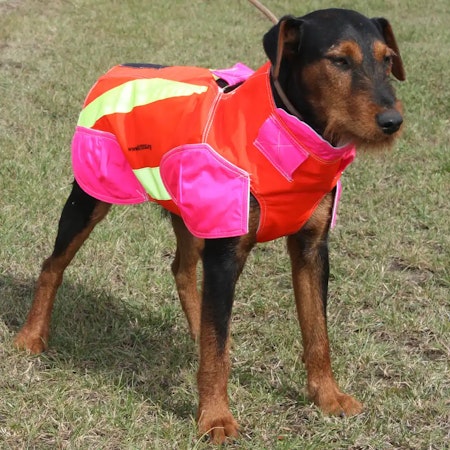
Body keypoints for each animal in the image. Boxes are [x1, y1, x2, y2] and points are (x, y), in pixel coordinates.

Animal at [15, 7, 406, 446]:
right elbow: (218, 350)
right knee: (53, 265)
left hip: (191, 213)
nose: (392, 120)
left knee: (182, 271)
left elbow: (317, 332)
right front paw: (216, 418)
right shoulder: (226, 253)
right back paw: (31, 335)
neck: (287, 132)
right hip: (91, 197)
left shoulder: (311, 249)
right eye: (339, 60)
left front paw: (327, 395)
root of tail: (118, 68)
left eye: (388, 59)